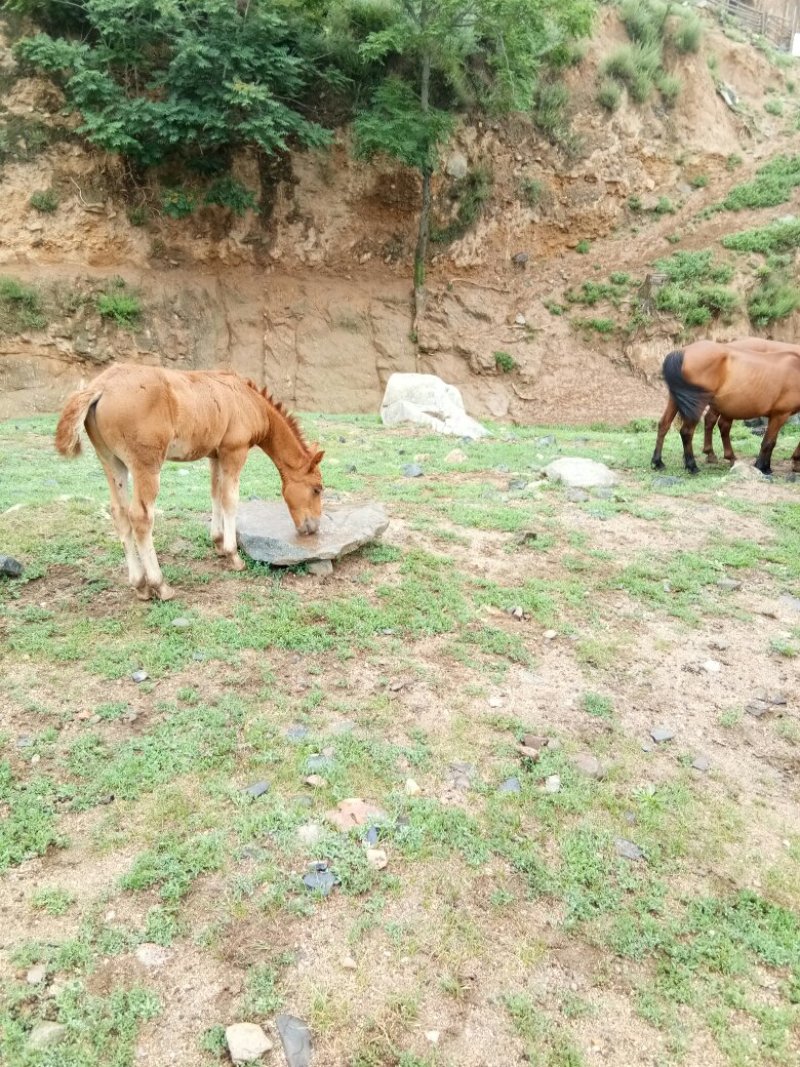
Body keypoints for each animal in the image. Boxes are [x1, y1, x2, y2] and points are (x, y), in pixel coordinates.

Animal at [55, 364, 324, 601]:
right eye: (317, 489)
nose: (313, 528)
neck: (248, 401)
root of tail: (100, 386)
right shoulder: (234, 451)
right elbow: (230, 500)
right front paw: (233, 555)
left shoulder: (215, 455)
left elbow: (215, 495)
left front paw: (218, 542)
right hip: (146, 465)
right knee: (141, 518)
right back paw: (160, 586)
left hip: (111, 462)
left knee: (119, 514)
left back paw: (140, 585)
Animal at [651, 338, 800, 475]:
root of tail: (683, 352)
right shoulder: (781, 414)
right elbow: (769, 442)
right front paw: (763, 467)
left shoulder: (777, 415)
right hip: (698, 403)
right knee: (687, 431)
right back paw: (692, 466)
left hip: (676, 400)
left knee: (664, 425)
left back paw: (657, 462)